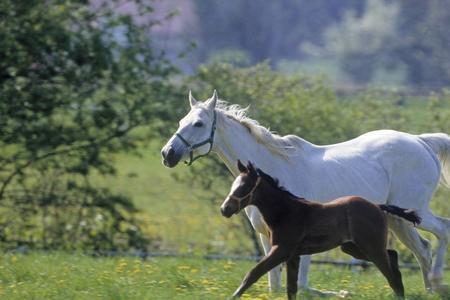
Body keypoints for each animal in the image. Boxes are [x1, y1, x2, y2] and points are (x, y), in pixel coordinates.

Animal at [221, 162, 422, 300]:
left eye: (244, 187)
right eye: (233, 185)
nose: (225, 209)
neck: (286, 212)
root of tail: (377, 206)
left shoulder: (281, 250)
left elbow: (253, 273)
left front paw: (233, 296)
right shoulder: (293, 255)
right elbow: (291, 288)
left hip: (371, 247)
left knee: (391, 273)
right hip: (353, 247)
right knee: (393, 257)